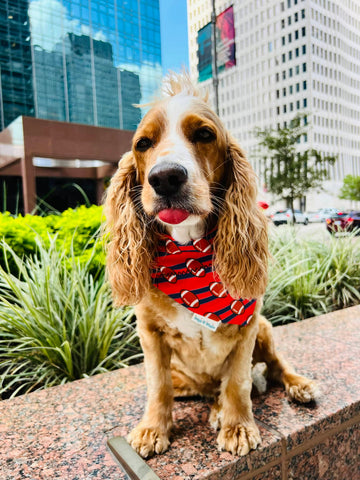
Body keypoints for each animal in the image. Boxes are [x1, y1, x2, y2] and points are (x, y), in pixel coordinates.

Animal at [105, 74, 318, 458]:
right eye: (143, 143)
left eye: (204, 134)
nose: (165, 177)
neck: (188, 253)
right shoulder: (150, 334)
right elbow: (157, 386)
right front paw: (152, 429)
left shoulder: (247, 329)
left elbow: (238, 382)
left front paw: (238, 427)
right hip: (186, 377)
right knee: (201, 390)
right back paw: (214, 406)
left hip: (265, 329)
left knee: (274, 367)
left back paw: (295, 385)